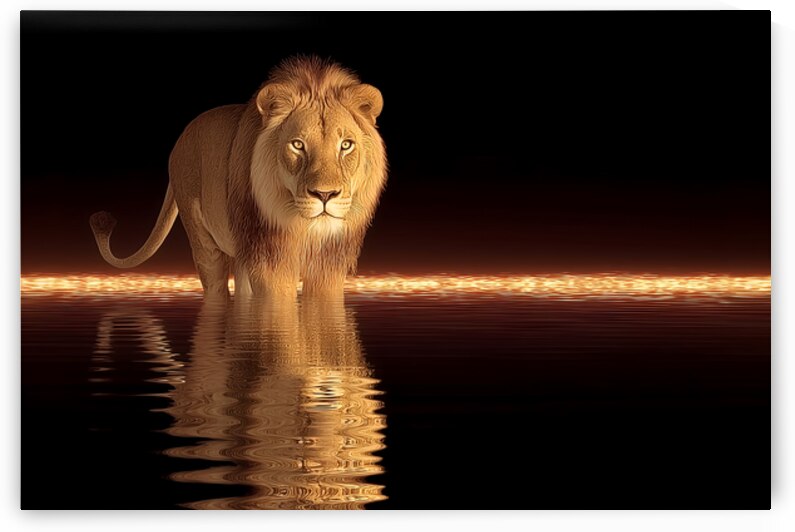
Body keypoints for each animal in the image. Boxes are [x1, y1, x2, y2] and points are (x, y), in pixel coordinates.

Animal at [90, 56, 387, 298]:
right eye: (297, 145)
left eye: (346, 145)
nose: (325, 195)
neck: (304, 228)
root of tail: (181, 139)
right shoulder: (269, 259)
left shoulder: (329, 262)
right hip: (203, 236)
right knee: (215, 281)